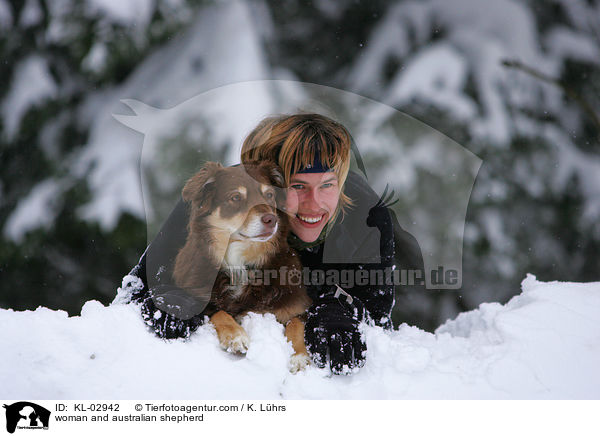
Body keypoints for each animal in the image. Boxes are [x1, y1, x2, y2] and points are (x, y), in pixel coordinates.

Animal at [172, 162, 312, 372]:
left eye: (269, 194)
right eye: (236, 197)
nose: (271, 220)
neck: (240, 261)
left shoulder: (295, 304)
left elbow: (296, 324)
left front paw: (299, 356)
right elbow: (219, 312)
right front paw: (236, 336)